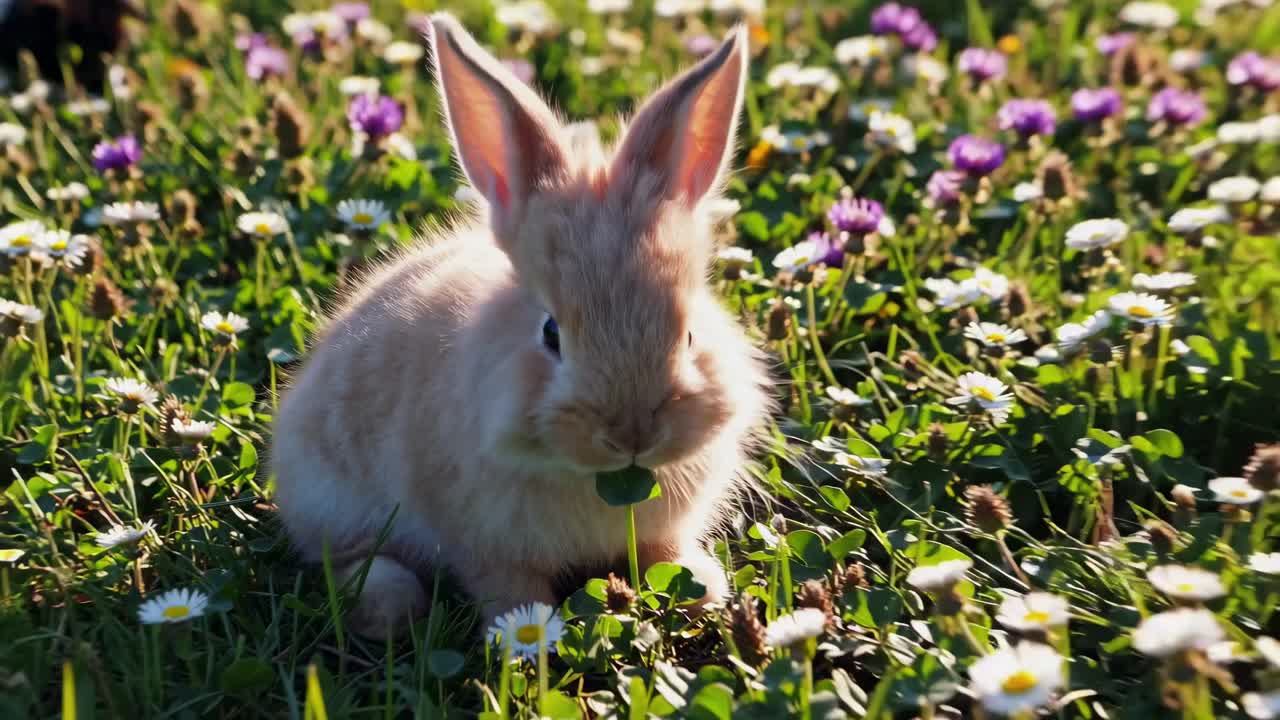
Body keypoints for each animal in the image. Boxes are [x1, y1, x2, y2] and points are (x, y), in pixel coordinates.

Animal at [271, 12, 771, 638]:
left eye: (687, 333)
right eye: (550, 333)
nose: (631, 436)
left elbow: (665, 554)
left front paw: (705, 588)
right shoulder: (482, 543)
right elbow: (509, 588)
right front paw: (524, 631)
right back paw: (391, 604)